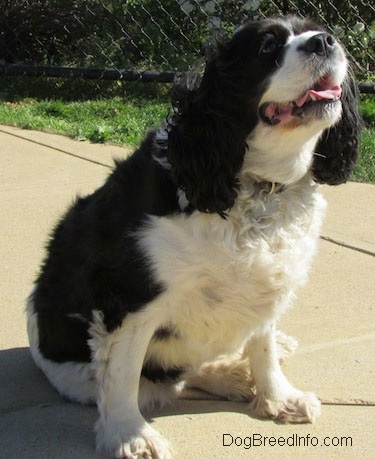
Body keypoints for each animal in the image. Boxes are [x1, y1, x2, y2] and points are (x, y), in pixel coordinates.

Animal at [26, 15, 362, 459]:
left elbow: (264, 348)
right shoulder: (130, 299)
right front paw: (129, 435)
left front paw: (279, 397)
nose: (325, 41)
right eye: (268, 47)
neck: (252, 184)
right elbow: (122, 374)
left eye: (323, 31)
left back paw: (237, 370)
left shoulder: (266, 284)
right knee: (162, 381)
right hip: (78, 373)